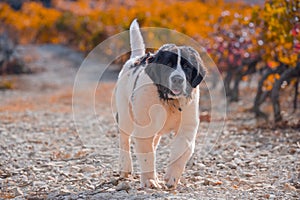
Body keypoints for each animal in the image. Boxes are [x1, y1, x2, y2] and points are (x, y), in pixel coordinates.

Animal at [115, 19, 206, 189]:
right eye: (168, 64)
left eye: (187, 67)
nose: (178, 79)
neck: (169, 101)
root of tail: (135, 58)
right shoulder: (144, 128)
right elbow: (147, 155)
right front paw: (150, 181)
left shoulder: (187, 127)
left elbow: (181, 150)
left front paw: (171, 178)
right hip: (125, 116)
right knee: (124, 140)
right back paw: (126, 168)